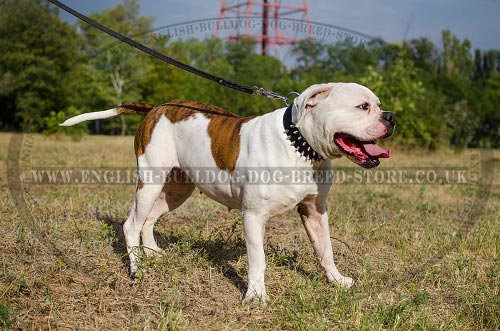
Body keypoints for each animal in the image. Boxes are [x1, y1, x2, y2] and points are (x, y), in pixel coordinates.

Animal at [61, 82, 394, 304]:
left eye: (378, 104)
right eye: (363, 106)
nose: (390, 116)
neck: (300, 146)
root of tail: (158, 106)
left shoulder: (314, 211)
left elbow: (325, 250)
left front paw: (336, 281)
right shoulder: (254, 217)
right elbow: (258, 259)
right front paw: (256, 296)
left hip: (176, 190)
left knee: (149, 219)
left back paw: (152, 253)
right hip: (151, 181)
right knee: (131, 223)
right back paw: (137, 269)